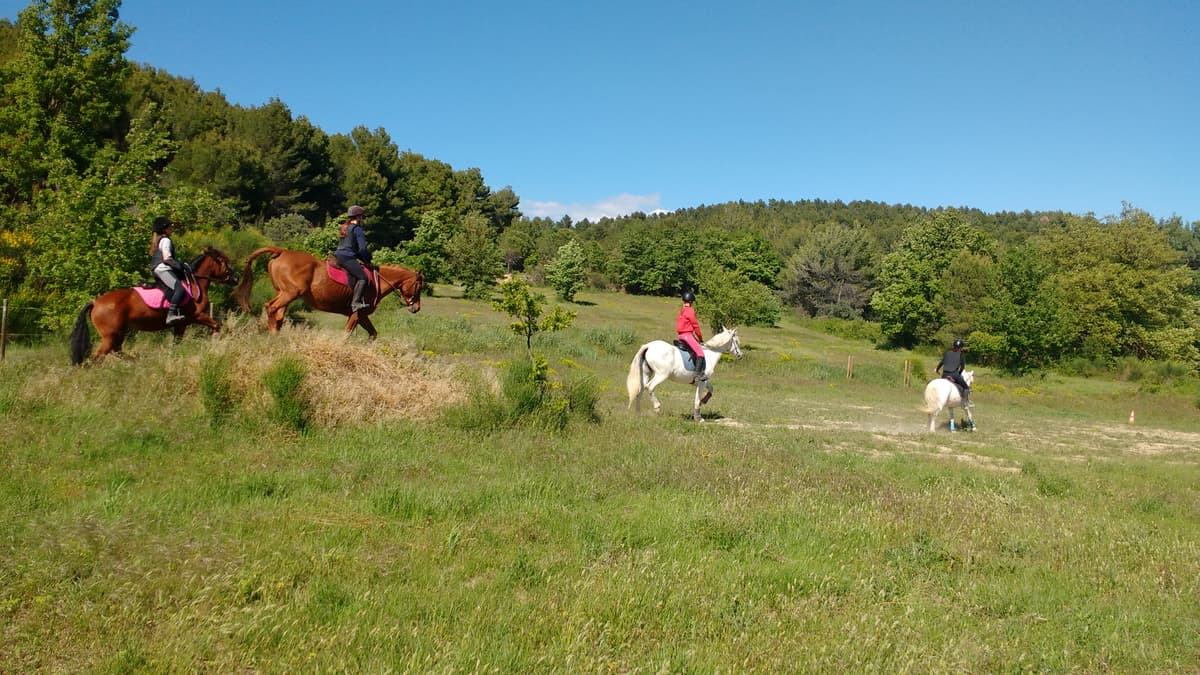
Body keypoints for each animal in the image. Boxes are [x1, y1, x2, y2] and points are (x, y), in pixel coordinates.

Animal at [70, 246, 241, 362]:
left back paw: (135, 361)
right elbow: (218, 326)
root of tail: (95, 302)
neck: (194, 283)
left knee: (117, 351)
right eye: (224, 262)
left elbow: (176, 343)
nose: (236, 279)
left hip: (118, 334)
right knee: (98, 357)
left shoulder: (181, 324)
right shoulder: (197, 316)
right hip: (110, 336)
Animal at [231, 243, 424, 336]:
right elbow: (346, 334)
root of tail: (282, 251)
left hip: (284, 293)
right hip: (290, 293)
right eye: (419, 286)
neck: (376, 281)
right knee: (271, 308)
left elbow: (373, 334)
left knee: (277, 314)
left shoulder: (362, 316)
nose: (416, 308)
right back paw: (272, 335)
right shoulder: (357, 313)